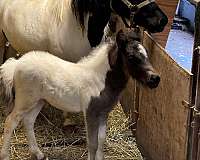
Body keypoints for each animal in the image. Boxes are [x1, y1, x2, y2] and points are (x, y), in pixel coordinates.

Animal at [0, 29, 159, 159]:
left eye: (146, 54)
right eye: (131, 57)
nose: (155, 79)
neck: (100, 80)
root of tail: (17, 63)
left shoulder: (103, 113)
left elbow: (101, 140)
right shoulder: (90, 113)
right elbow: (92, 143)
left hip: (39, 101)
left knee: (28, 121)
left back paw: (38, 153)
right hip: (25, 101)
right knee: (10, 121)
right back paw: (5, 155)